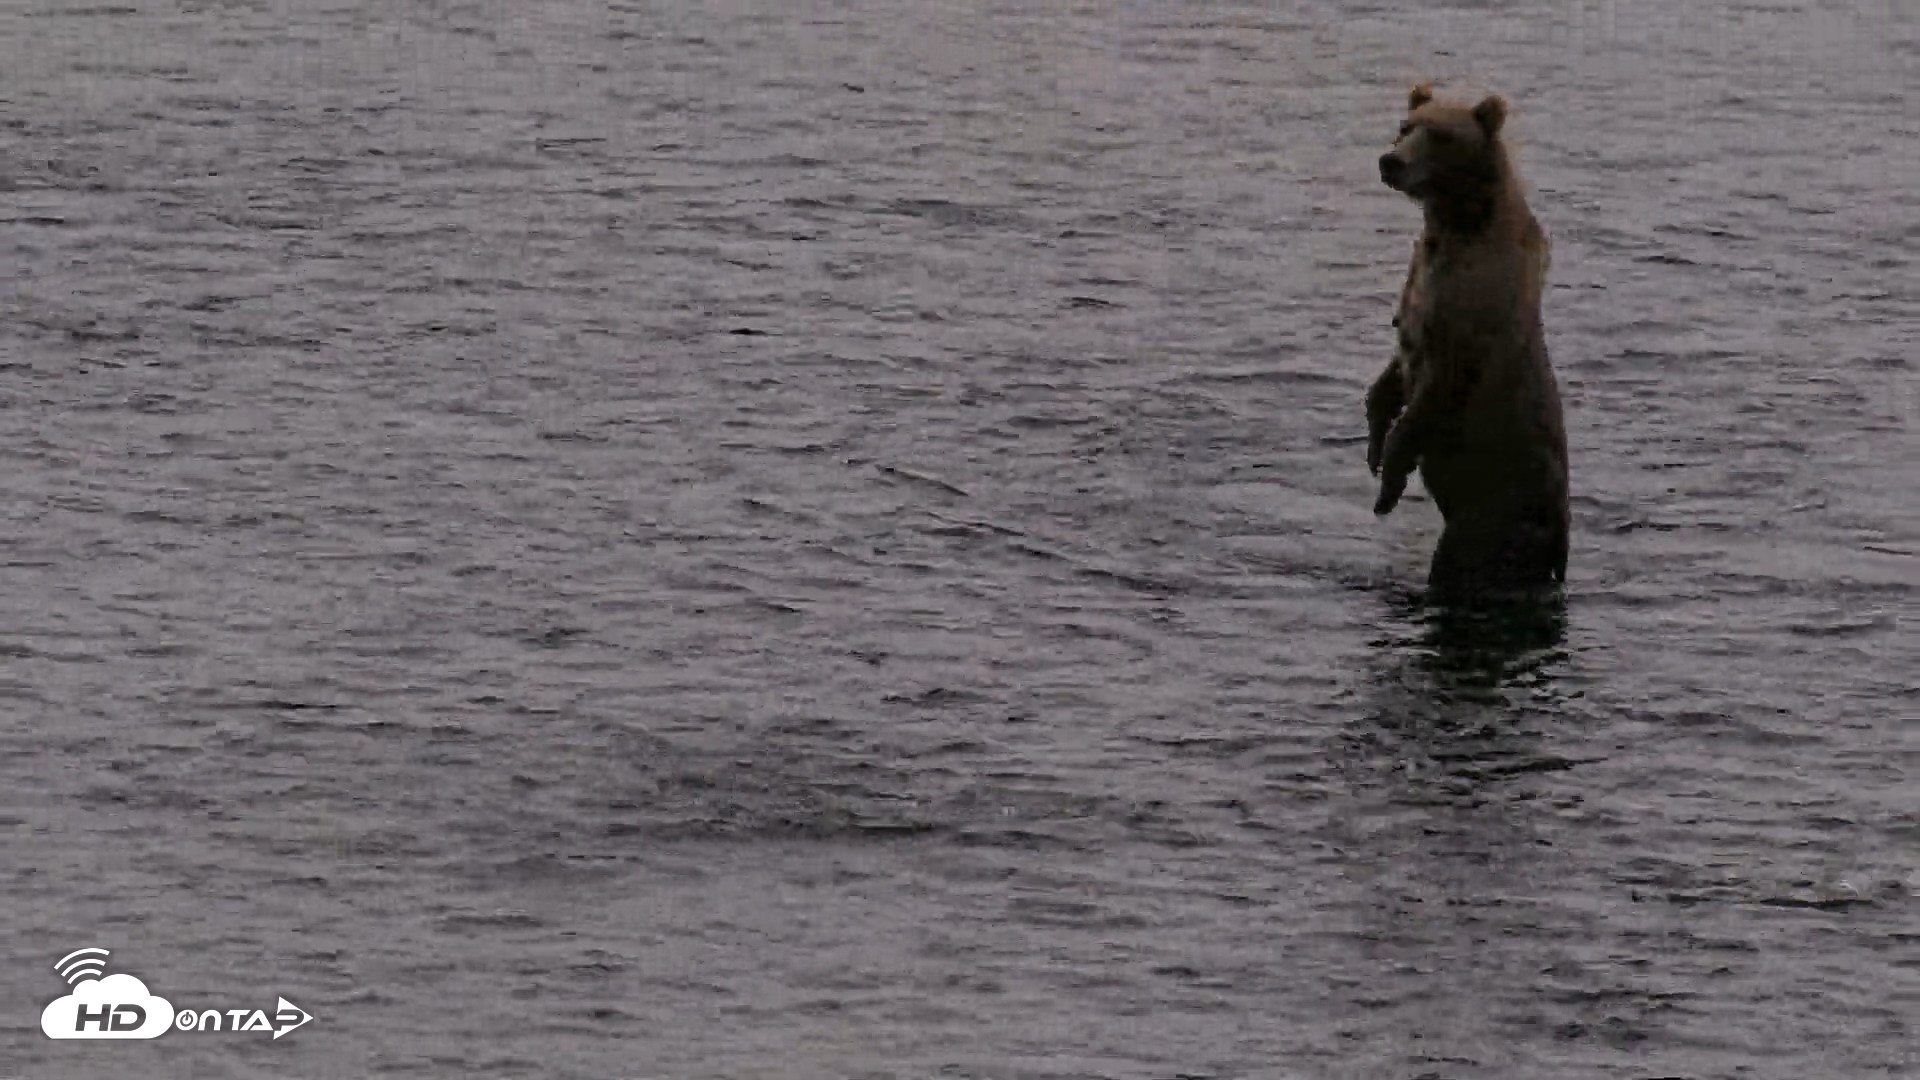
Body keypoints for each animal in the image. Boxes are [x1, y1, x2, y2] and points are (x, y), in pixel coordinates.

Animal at [1366, 82, 1569, 596]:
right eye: (1405, 126)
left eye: (1440, 134)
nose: (1390, 161)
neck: (1456, 225)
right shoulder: (1419, 284)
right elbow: (1390, 376)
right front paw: (1374, 445)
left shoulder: (1468, 314)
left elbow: (1433, 392)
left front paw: (1388, 482)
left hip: (1495, 514)